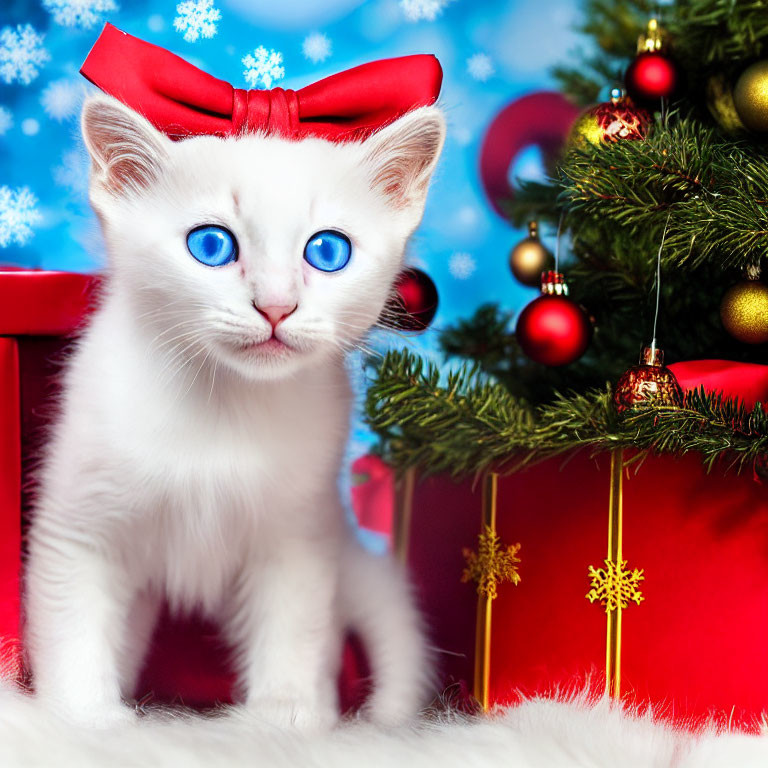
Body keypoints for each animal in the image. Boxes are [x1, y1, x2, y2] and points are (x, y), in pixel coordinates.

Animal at [24, 93, 448, 728]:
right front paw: (85, 716)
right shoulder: (79, 522)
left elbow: (292, 624)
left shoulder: (300, 532)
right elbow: (72, 617)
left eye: (328, 251)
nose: (276, 306)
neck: (224, 404)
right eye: (211, 245)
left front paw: (284, 713)